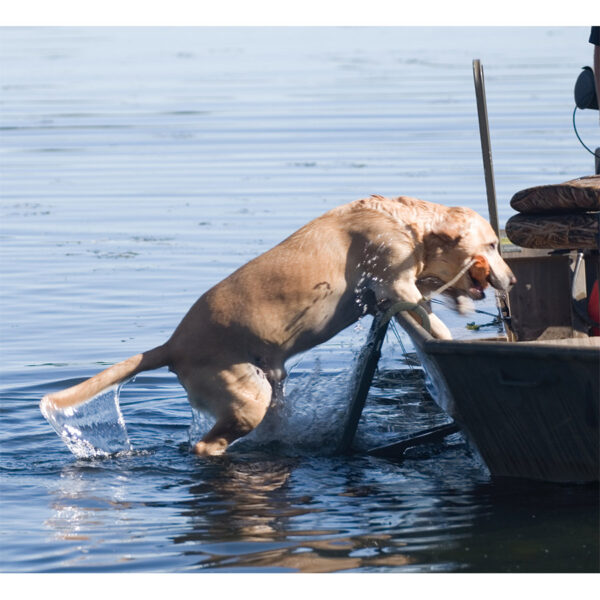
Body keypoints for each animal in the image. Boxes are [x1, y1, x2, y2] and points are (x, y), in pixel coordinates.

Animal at [39, 196, 512, 454]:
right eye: (492, 244)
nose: (511, 281)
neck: (403, 221)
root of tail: (171, 346)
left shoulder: (398, 289)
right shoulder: (394, 281)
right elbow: (435, 322)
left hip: (270, 387)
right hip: (248, 397)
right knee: (205, 445)